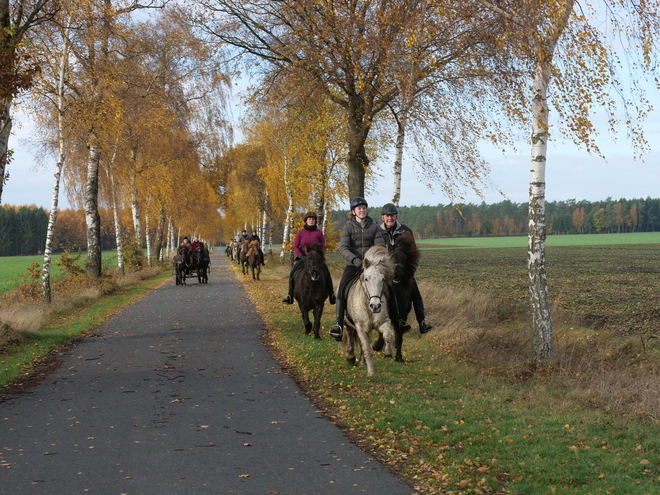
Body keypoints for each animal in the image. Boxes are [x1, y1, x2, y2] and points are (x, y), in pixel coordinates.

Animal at [374, 231, 420, 362]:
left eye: (404, 258)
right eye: (390, 258)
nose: (397, 274)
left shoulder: (402, 315)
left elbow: (399, 336)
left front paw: (399, 357)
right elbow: (382, 331)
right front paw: (378, 346)